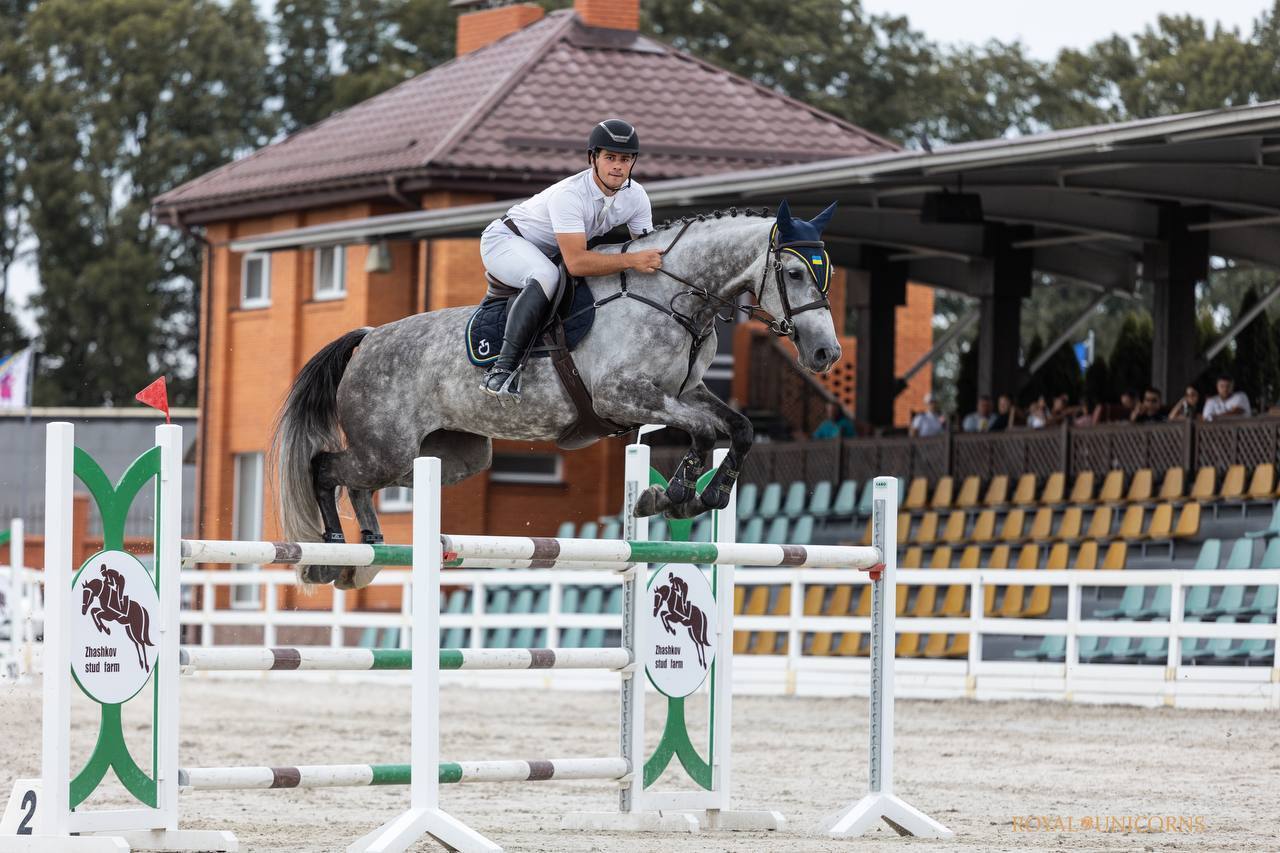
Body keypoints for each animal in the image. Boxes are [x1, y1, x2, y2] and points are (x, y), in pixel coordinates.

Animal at [273, 199, 844, 589]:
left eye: (828, 274)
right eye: (794, 272)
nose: (826, 354)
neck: (671, 296)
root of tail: (369, 337)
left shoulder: (687, 390)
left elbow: (739, 429)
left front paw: (708, 494)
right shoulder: (621, 397)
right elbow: (703, 431)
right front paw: (674, 495)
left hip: (446, 457)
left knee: (359, 483)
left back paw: (367, 552)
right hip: (388, 447)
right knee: (326, 468)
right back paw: (330, 555)